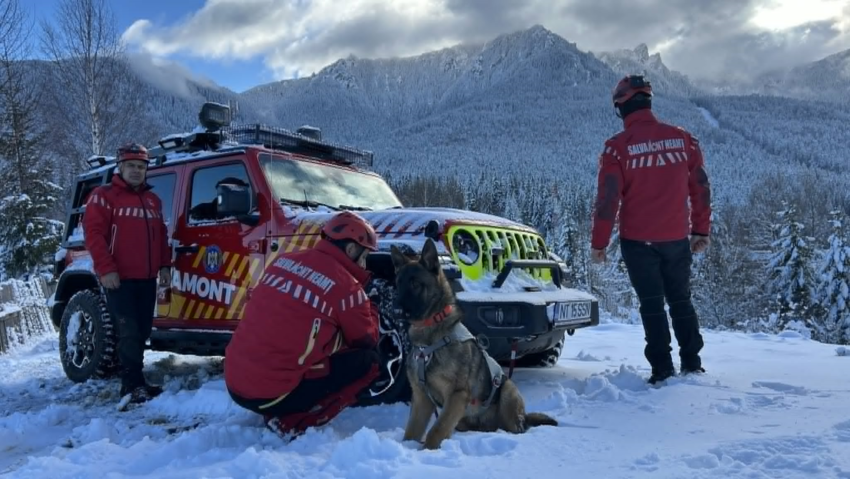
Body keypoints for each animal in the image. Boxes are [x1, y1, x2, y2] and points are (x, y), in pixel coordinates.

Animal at [390, 239, 556, 450]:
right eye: (398, 284)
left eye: (415, 284)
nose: (394, 310)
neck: (430, 339)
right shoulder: (421, 398)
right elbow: (411, 432)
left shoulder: (457, 395)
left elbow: (436, 430)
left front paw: (427, 450)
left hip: (508, 391)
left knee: (517, 427)